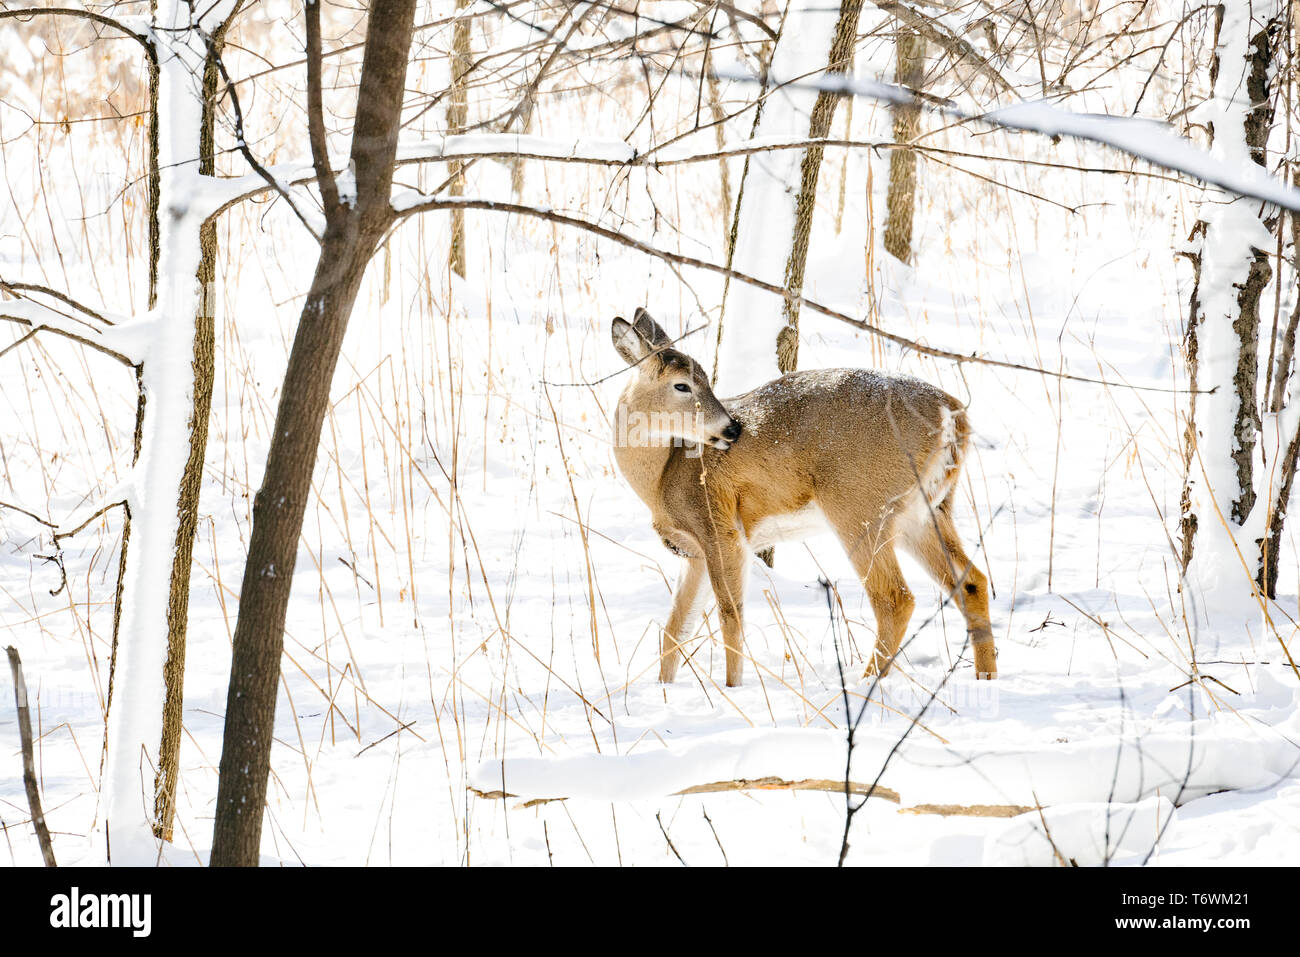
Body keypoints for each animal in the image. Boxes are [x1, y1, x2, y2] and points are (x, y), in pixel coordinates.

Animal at [608, 306, 993, 686]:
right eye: (682, 384)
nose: (732, 428)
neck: (661, 476)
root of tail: (952, 415)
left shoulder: (720, 529)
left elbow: (730, 616)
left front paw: (733, 688)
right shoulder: (695, 553)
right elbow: (674, 629)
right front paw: (665, 688)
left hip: (859, 505)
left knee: (895, 598)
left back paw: (867, 682)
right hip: (926, 510)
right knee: (971, 582)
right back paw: (985, 676)